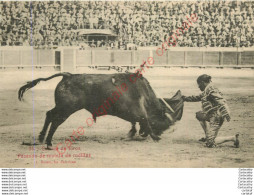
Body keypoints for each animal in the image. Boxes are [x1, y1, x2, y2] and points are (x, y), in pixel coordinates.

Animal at [18, 72, 185, 148]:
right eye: (162, 124)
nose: (159, 134)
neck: (143, 93)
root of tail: (68, 75)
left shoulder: (133, 114)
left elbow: (135, 123)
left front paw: (132, 134)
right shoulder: (138, 112)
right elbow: (144, 121)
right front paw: (155, 137)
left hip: (62, 107)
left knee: (49, 114)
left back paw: (41, 138)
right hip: (67, 108)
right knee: (55, 120)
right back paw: (48, 142)